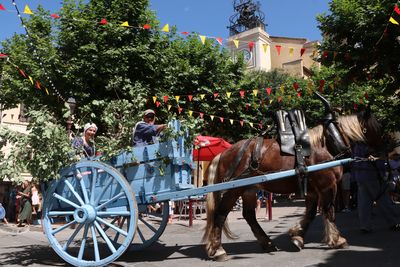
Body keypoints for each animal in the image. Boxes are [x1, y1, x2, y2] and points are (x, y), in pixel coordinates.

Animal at [203, 109, 384, 262]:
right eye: (377, 128)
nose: (383, 151)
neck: (327, 145)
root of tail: (224, 153)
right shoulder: (328, 186)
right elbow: (329, 211)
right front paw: (337, 239)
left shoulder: (313, 190)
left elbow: (311, 213)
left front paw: (297, 237)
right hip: (234, 189)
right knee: (220, 214)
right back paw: (218, 250)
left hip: (249, 190)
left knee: (249, 215)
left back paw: (267, 243)